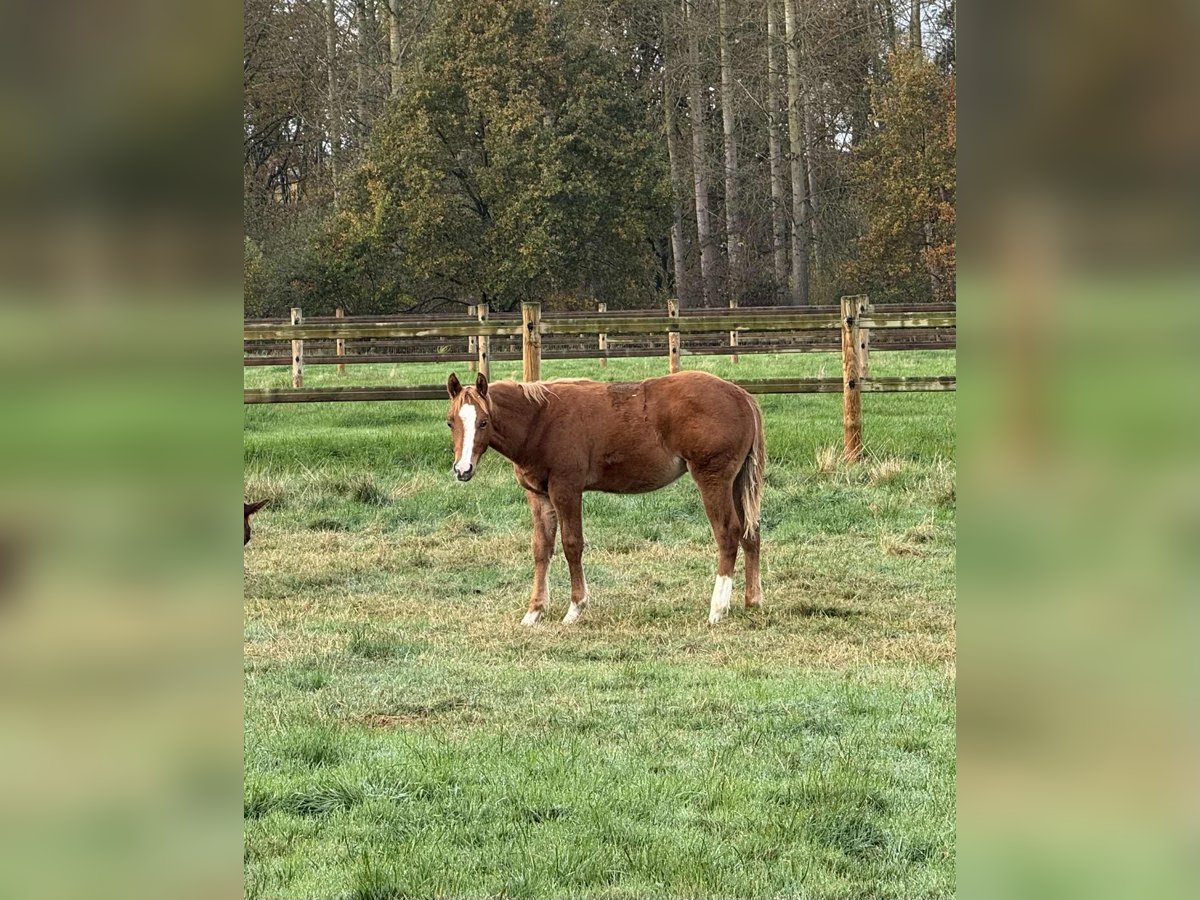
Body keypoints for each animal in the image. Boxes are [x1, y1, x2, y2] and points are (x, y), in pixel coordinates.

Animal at [445, 370, 764, 625]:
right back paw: (752, 601)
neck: (540, 420)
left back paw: (717, 610)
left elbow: (572, 544)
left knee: (728, 534)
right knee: (751, 533)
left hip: (713, 479)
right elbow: (541, 548)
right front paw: (534, 612)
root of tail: (741, 396)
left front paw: (575, 609)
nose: (463, 469)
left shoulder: (566, 489)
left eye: (484, 422)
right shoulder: (539, 496)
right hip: (737, 482)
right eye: (450, 422)